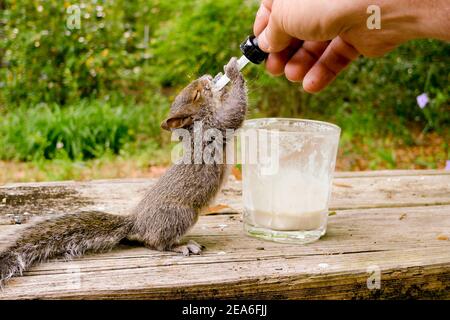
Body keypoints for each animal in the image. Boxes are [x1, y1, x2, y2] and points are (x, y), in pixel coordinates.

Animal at [0, 57, 248, 288]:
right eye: (196, 94)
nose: (208, 77)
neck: (197, 124)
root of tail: (136, 222)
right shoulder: (215, 125)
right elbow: (234, 111)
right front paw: (233, 70)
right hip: (180, 214)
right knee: (155, 243)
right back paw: (181, 246)